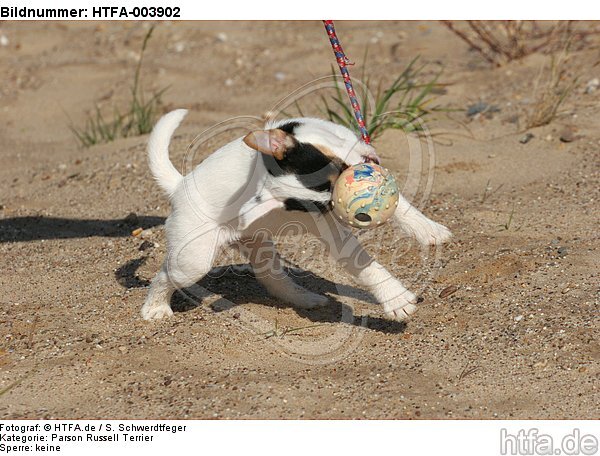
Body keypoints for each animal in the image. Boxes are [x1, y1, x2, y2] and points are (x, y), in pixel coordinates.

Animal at [142, 109, 450, 320]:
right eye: (328, 204)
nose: (359, 217)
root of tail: (179, 186)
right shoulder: (332, 231)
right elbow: (365, 265)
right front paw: (397, 300)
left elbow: (402, 206)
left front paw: (429, 231)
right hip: (194, 260)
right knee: (166, 275)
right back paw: (155, 308)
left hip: (258, 244)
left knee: (272, 278)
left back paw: (306, 299)